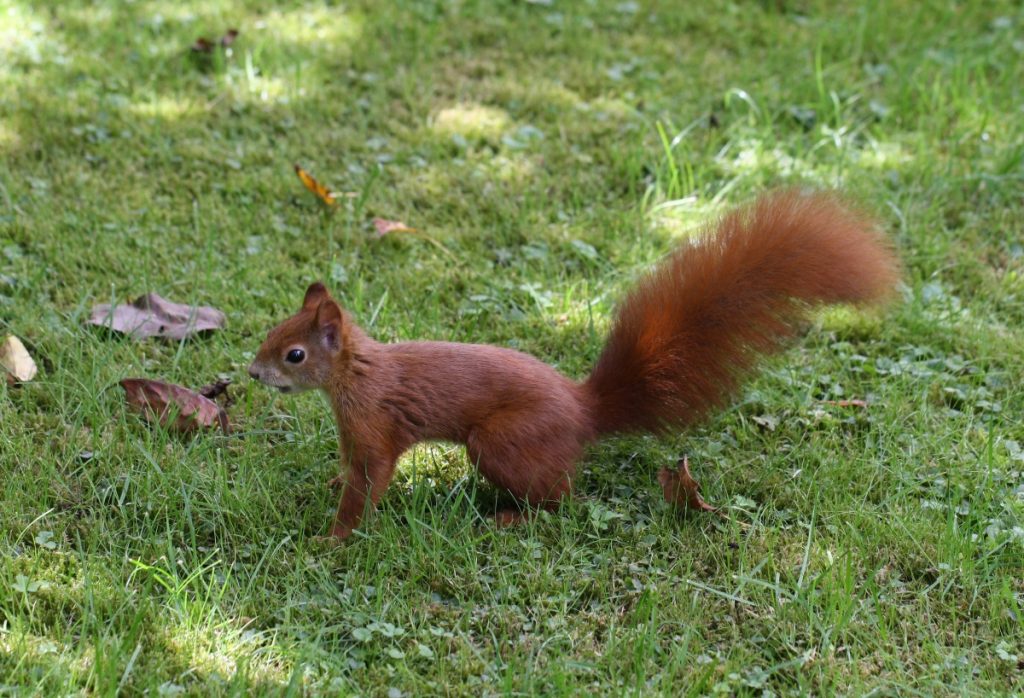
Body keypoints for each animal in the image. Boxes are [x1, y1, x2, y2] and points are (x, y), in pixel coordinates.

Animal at [251, 190, 901, 536]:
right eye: (272, 333)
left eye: (294, 353)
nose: (254, 374)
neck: (355, 374)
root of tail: (584, 409)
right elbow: (348, 470)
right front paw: (331, 486)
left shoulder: (376, 426)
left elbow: (369, 483)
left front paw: (335, 537)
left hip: (502, 444)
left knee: (562, 499)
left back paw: (509, 519)